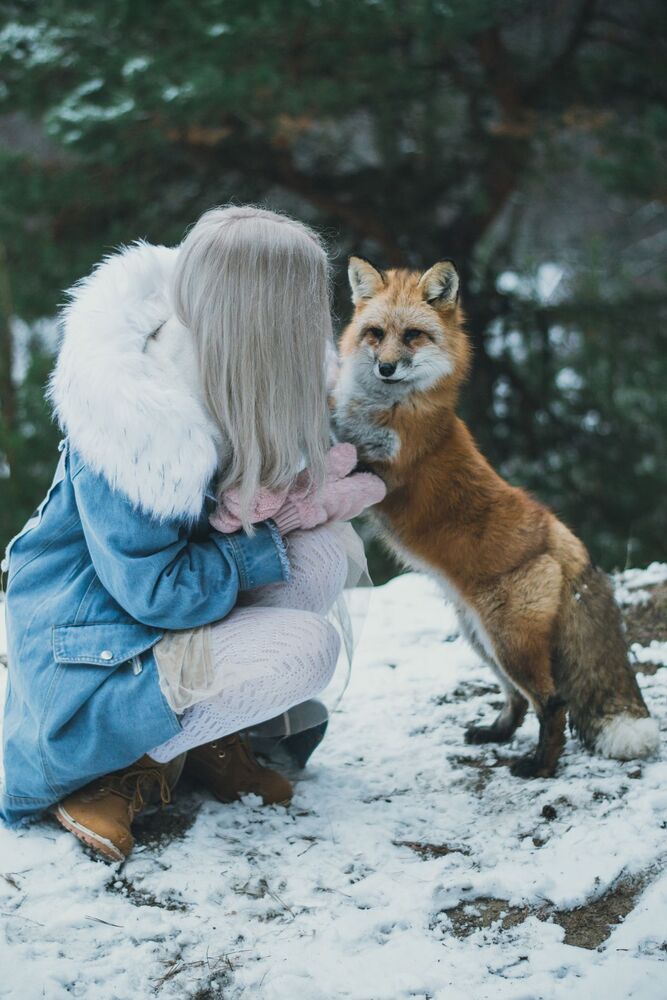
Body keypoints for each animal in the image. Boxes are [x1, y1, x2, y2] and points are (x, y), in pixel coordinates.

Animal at [333, 255, 660, 777]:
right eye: (375, 333)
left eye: (412, 336)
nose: (385, 367)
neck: (391, 407)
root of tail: (561, 535)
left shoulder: (386, 471)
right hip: (482, 641)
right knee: (519, 700)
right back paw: (495, 734)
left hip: (509, 645)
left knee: (553, 703)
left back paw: (538, 767)